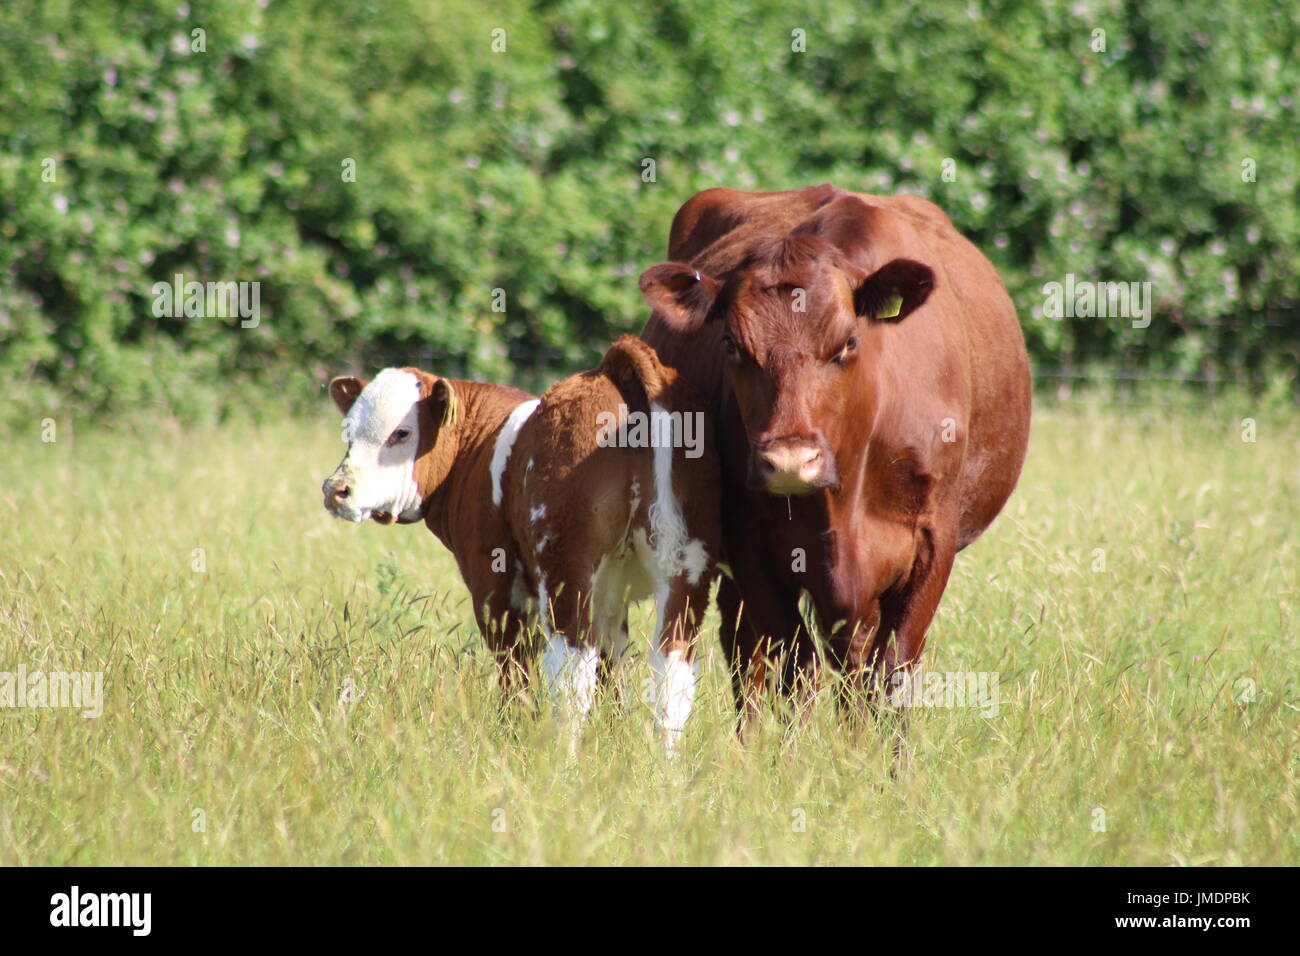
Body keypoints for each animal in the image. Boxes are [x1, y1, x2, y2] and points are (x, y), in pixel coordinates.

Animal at [317, 335, 722, 749]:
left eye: (402, 433)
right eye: (349, 433)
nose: (336, 490)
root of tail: (610, 374)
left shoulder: (493, 582)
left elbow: (515, 663)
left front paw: (513, 727)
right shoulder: (610, 590)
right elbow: (612, 662)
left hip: (564, 568)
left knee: (570, 670)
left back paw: (562, 757)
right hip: (684, 570)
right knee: (670, 673)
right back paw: (665, 764)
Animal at [637, 184, 1024, 723]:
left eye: (848, 343)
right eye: (732, 344)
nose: (790, 461)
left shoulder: (932, 543)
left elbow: (892, 673)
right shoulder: (751, 548)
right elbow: (796, 669)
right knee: (748, 654)